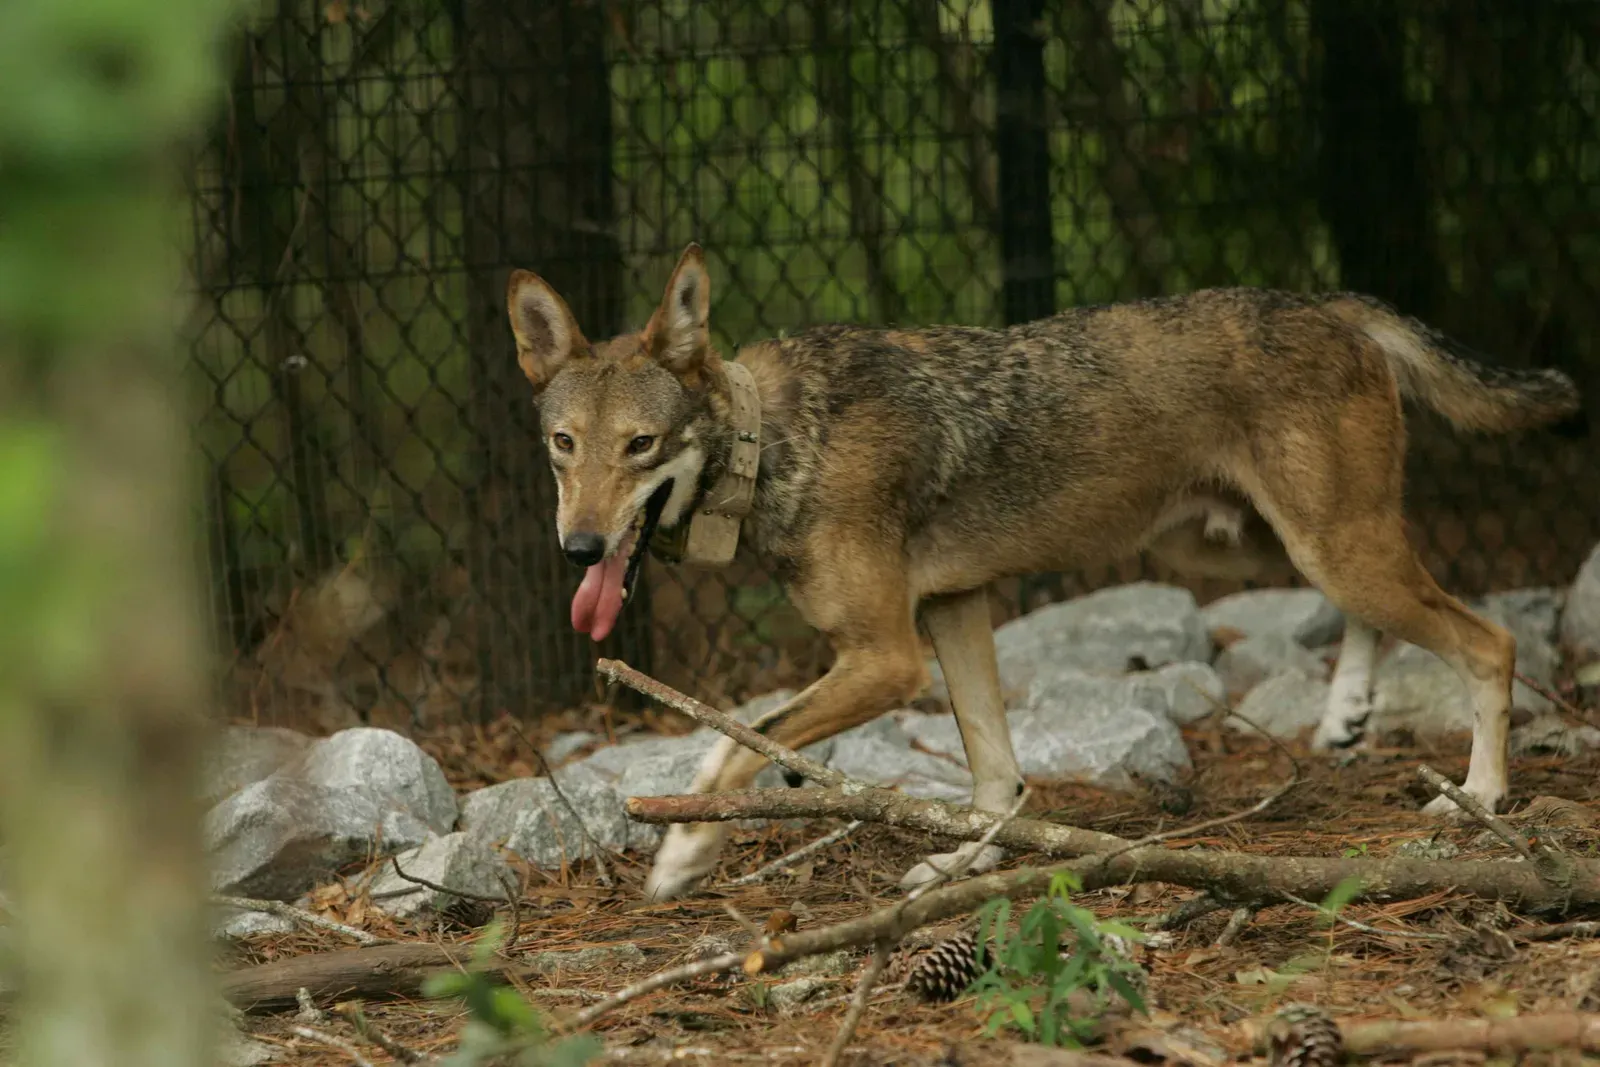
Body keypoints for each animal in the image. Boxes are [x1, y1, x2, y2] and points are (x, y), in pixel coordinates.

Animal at [505, 243, 1582, 902]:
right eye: (564, 446)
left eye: (640, 447)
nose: (580, 549)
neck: (774, 441)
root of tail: (1328, 301)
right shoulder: (952, 612)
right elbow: (997, 780)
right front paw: (964, 865)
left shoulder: (887, 656)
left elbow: (738, 744)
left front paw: (684, 852)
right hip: (1263, 545)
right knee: (1391, 618)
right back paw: (1346, 713)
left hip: (1332, 546)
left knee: (1487, 638)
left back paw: (1481, 795)